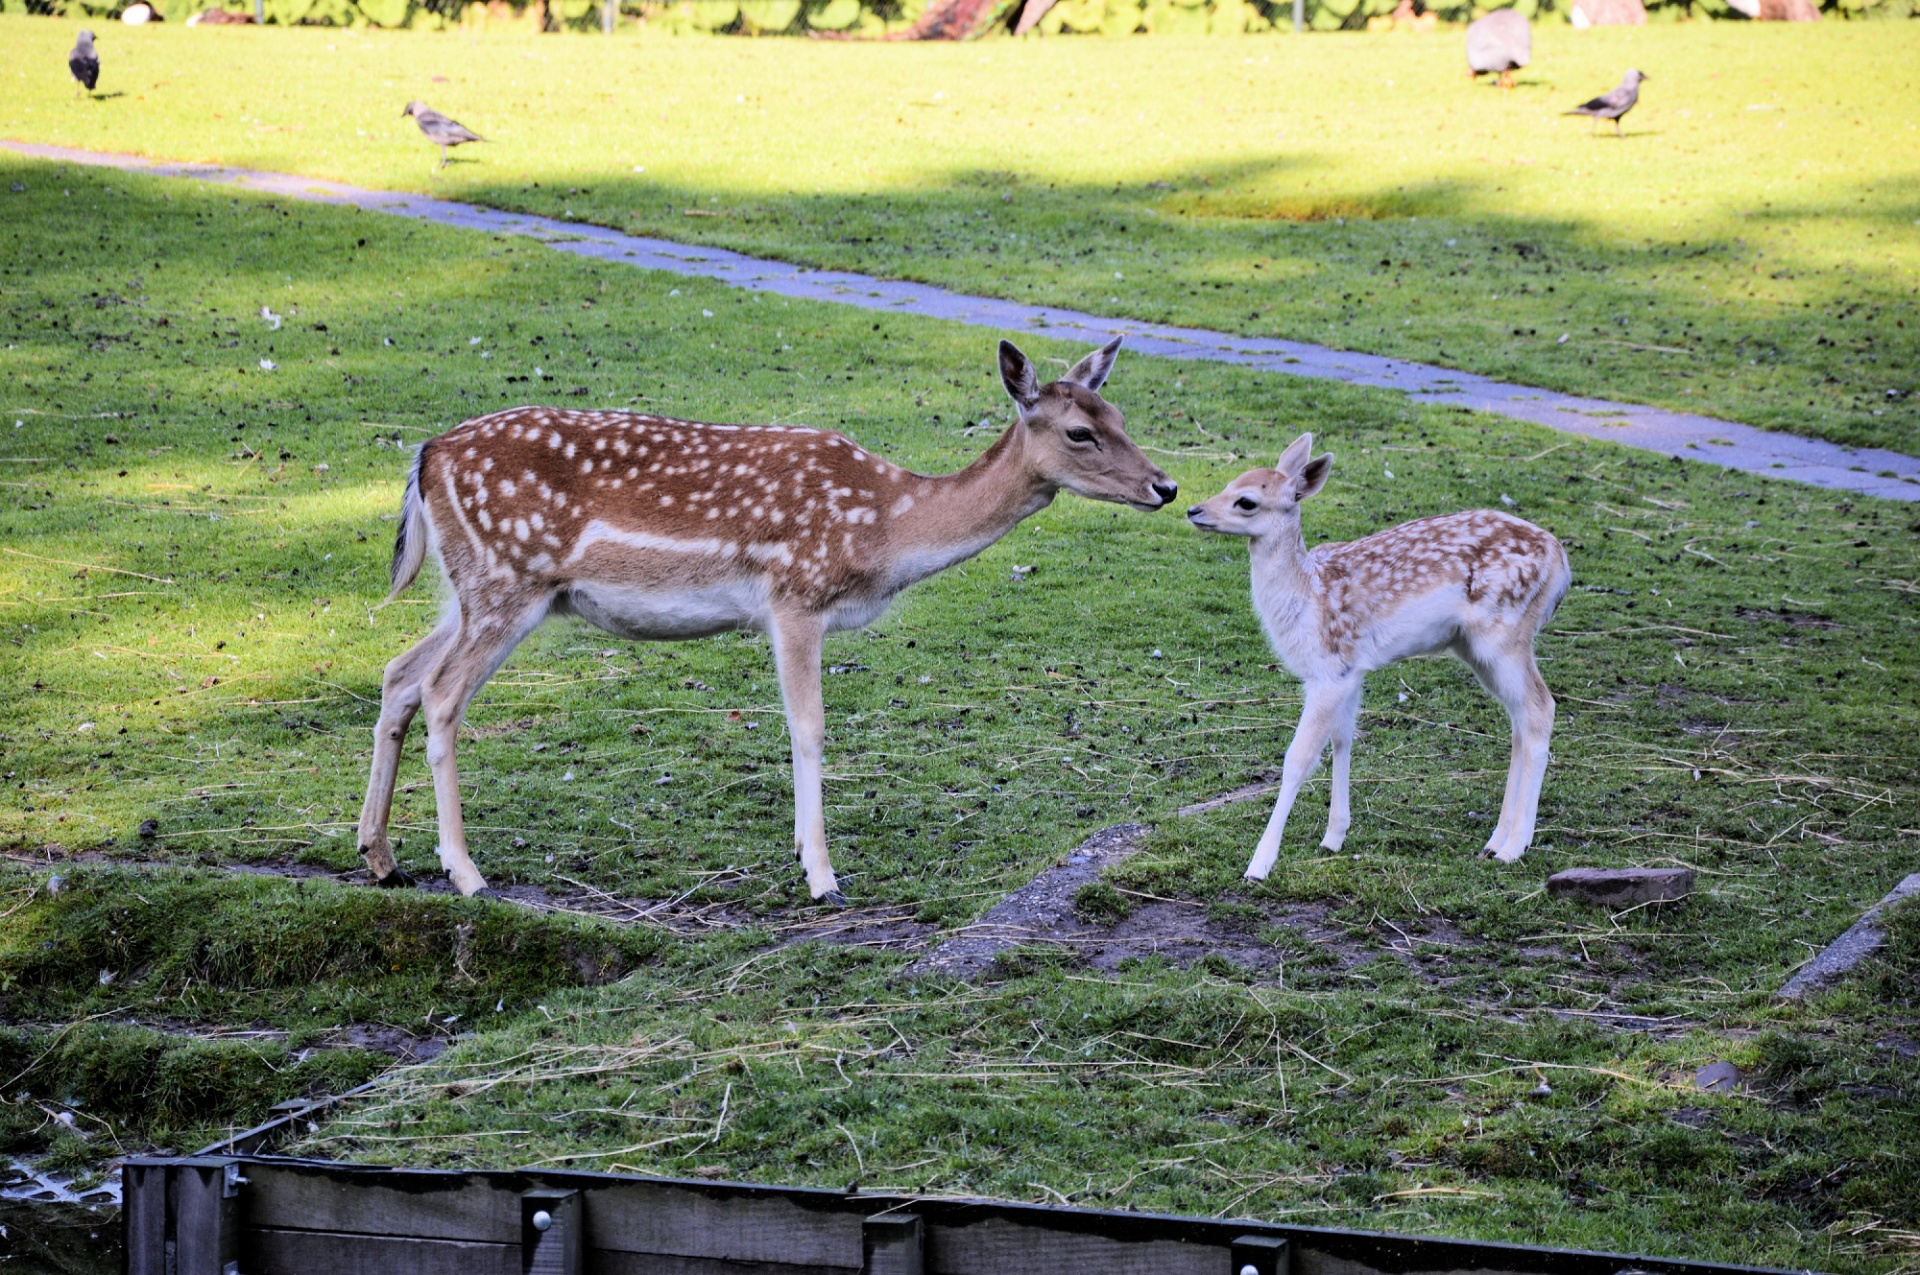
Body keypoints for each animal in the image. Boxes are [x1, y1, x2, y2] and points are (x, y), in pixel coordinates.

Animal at [353, 334, 1175, 902]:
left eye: (1119, 413)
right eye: (1078, 431)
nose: (1164, 486)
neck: (886, 528)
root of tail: (425, 456)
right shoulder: (795, 596)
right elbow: (808, 728)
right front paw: (822, 876)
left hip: (475, 588)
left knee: (399, 672)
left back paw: (382, 858)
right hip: (505, 580)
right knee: (442, 694)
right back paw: (466, 873)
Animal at [1182, 433, 1574, 883]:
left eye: (1246, 501)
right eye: (1230, 481)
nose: (1193, 509)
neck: (1308, 597)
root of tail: (1562, 563)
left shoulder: (1329, 669)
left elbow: (1298, 758)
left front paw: (1259, 864)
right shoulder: (1351, 670)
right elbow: (1342, 739)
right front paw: (1333, 837)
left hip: (1506, 633)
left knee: (1541, 706)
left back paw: (1515, 847)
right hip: (1476, 648)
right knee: (1519, 719)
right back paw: (1494, 841)